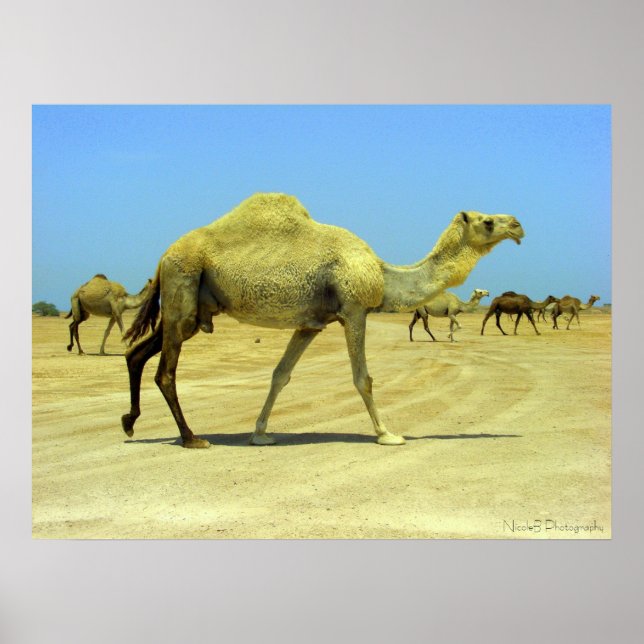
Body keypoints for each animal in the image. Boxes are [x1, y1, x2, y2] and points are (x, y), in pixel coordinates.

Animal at [121, 192, 524, 448]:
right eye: (488, 221)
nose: (518, 225)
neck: (383, 273)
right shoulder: (354, 311)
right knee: (165, 372)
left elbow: (280, 375)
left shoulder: (310, 324)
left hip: (188, 308)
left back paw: (129, 422)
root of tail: (163, 256)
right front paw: (388, 434)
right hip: (183, 286)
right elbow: (363, 379)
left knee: (136, 353)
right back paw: (192, 438)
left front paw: (260, 434)